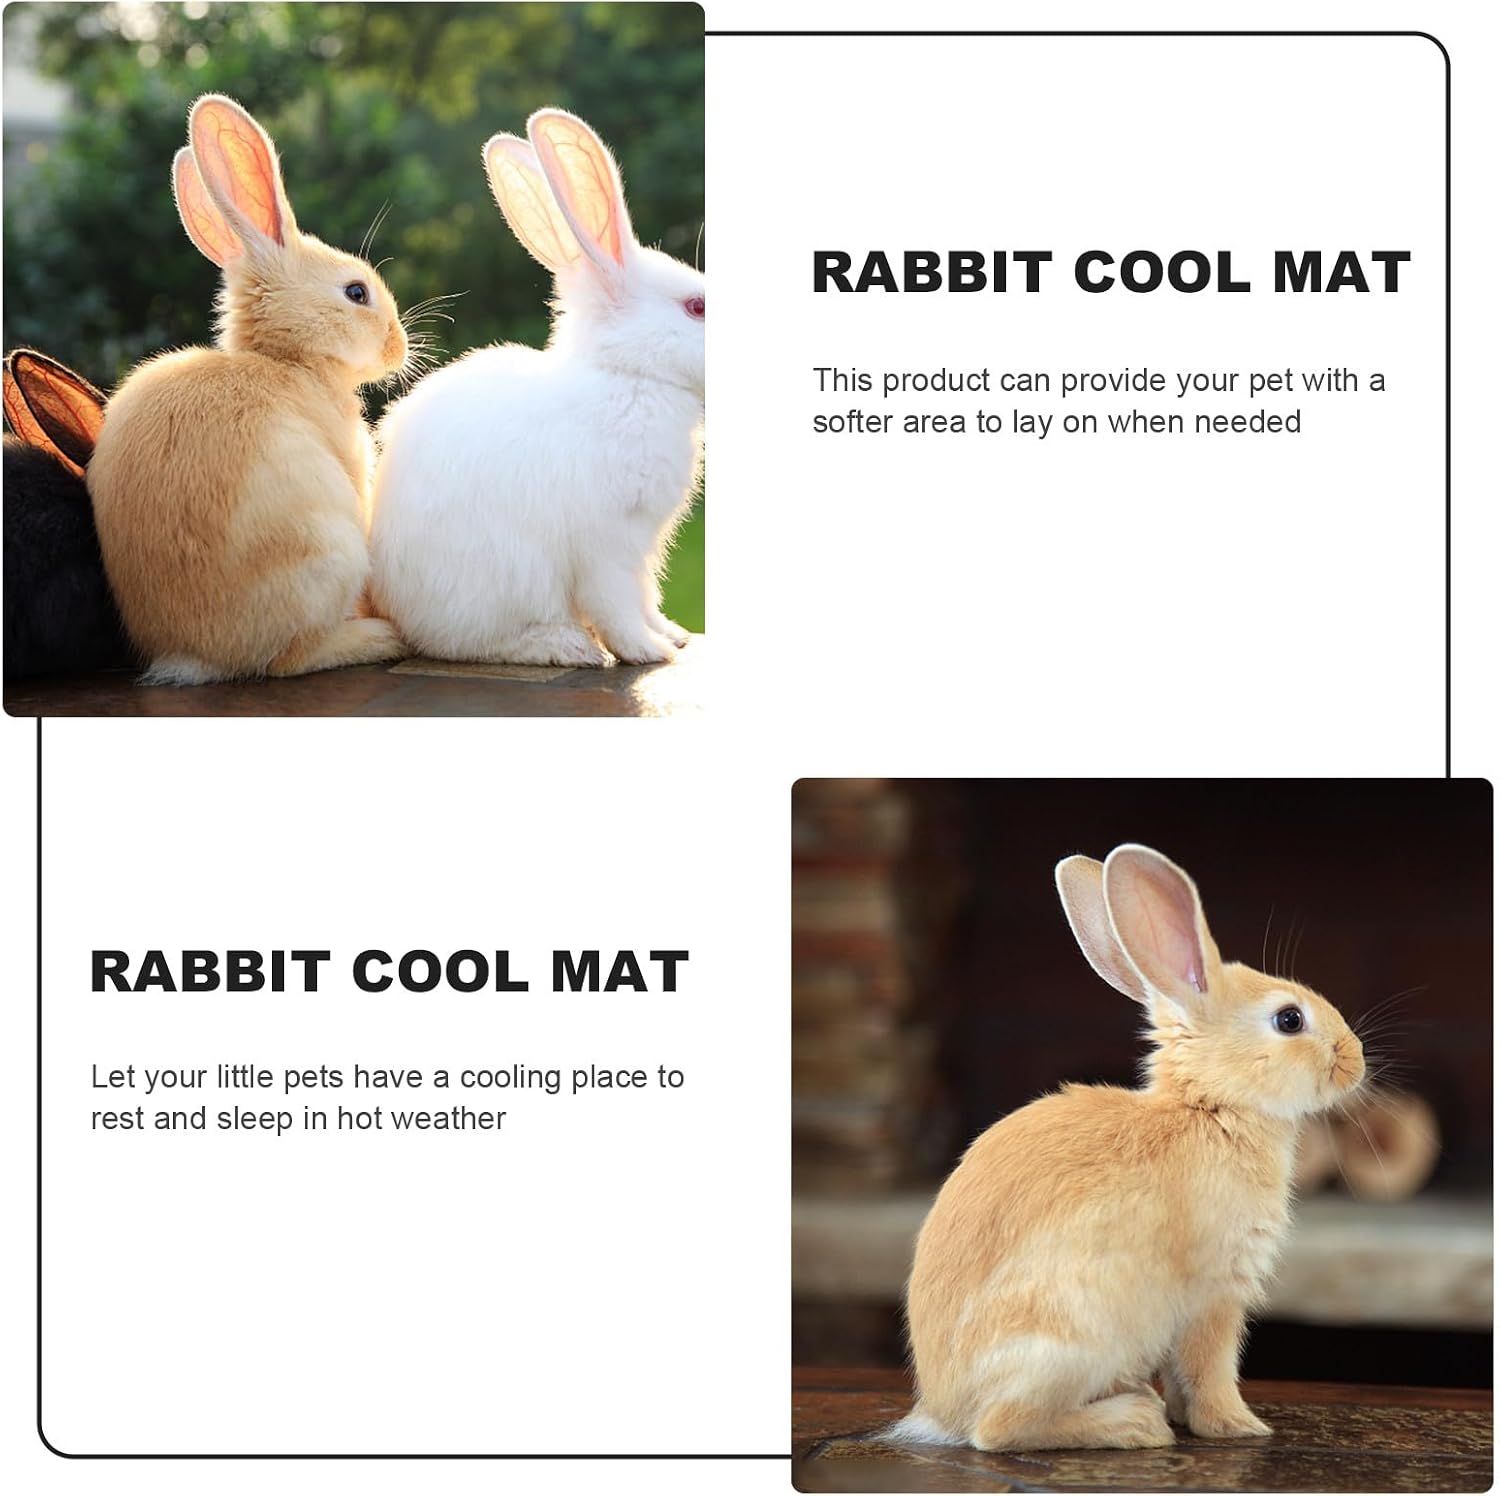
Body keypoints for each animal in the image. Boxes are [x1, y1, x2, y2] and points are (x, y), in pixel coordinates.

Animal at [86, 94, 410, 685]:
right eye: (356, 292)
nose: (397, 346)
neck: (288, 360)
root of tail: (198, 655)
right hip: (331, 552)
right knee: (290, 659)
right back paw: (377, 637)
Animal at [368, 109, 704, 667]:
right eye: (697, 307)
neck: (626, 376)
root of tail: (395, 609)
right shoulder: (608, 544)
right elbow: (616, 604)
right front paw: (648, 651)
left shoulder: (642, 546)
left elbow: (644, 597)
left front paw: (671, 635)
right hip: (509, 577)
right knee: (476, 642)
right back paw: (567, 645)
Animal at [893, 844, 1365, 1453]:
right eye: (1290, 1019)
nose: (1356, 1058)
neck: (1210, 1108)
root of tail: (941, 1411)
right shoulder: (1216, 1295)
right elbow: (1210, 1369)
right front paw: (1238, 1427)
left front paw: (1198, 1418)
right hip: (1072, 1337)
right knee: (999, 1429)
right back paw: (1135, 1422)